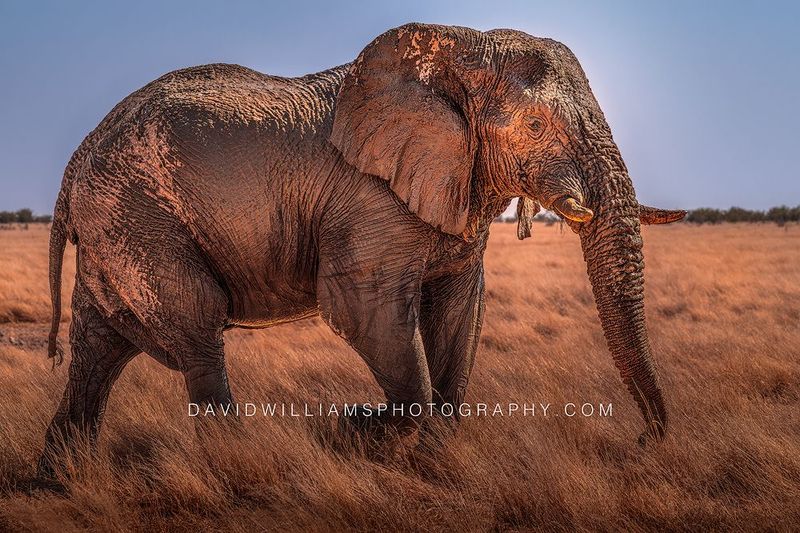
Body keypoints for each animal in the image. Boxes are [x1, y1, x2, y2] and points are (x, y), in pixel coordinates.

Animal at [40, 23, 685, 472]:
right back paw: (236, 467)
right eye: (535, 127)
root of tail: (73, 166)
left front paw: (425, 461)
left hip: (116, 224)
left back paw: (62, 479)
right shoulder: (369, 199)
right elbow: (361, 306)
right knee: (196, 325)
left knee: (100, 344)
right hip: (137, 215)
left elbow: (459, 312)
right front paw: (347, 428)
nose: (642, 440)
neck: (460, 45)